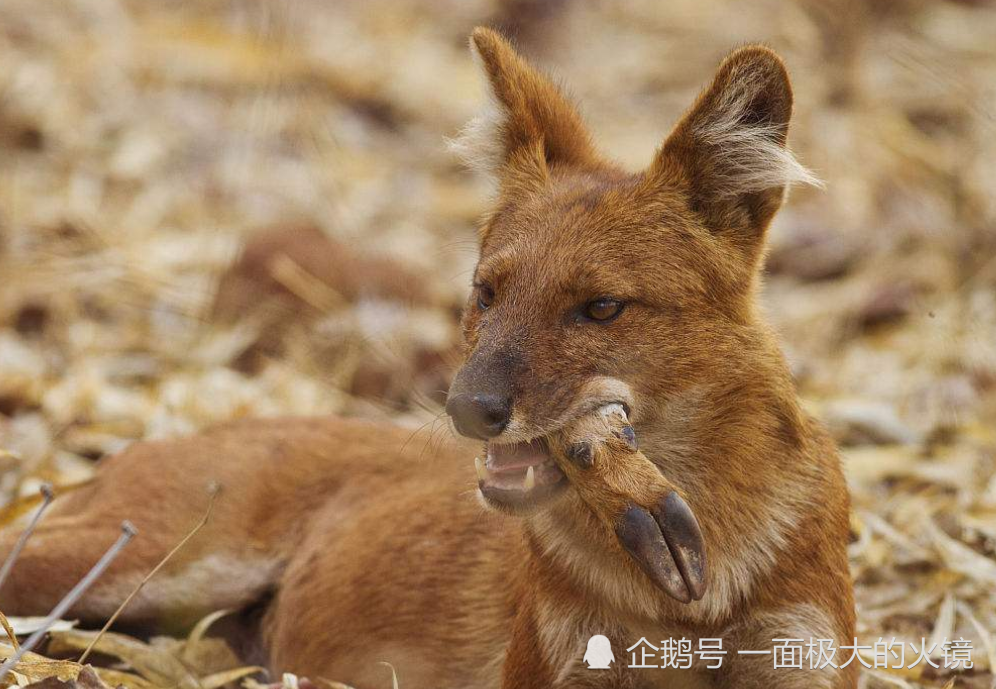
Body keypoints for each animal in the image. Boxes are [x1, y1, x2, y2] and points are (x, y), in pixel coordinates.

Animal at [0, 26, 856, 688]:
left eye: (602, 307)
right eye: (486, 291)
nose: (469, 408)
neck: (692, 601)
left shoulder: (800, 649)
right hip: (147, 549)